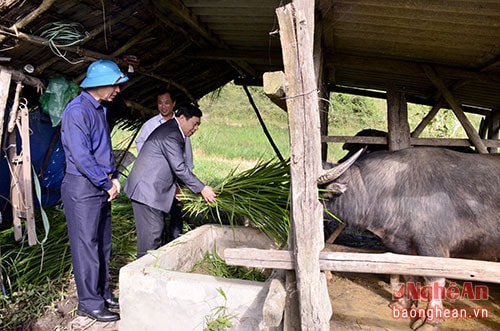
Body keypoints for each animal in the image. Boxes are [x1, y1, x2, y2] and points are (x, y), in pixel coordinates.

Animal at [320, 149, 500, 330]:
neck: (390, 191)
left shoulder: (433, 248)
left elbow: (434, 281)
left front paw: (431, 322)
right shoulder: (403, 246)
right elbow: (409, 274)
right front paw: (405, 303)